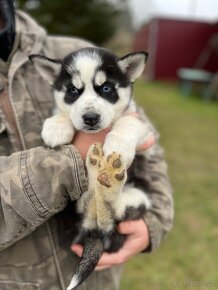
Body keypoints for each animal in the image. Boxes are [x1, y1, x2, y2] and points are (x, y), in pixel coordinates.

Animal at [29, 47, 152, 288]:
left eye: (106, 88)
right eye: (73, 90)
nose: (91, 118)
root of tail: (92, 232)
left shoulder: (144, 131)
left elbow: (129, 122)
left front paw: (119, 143)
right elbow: (61, 111)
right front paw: (56, 126)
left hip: (138, 198)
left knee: (112, 211)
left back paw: (108, 177)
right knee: (93, 199)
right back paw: (97, 167)